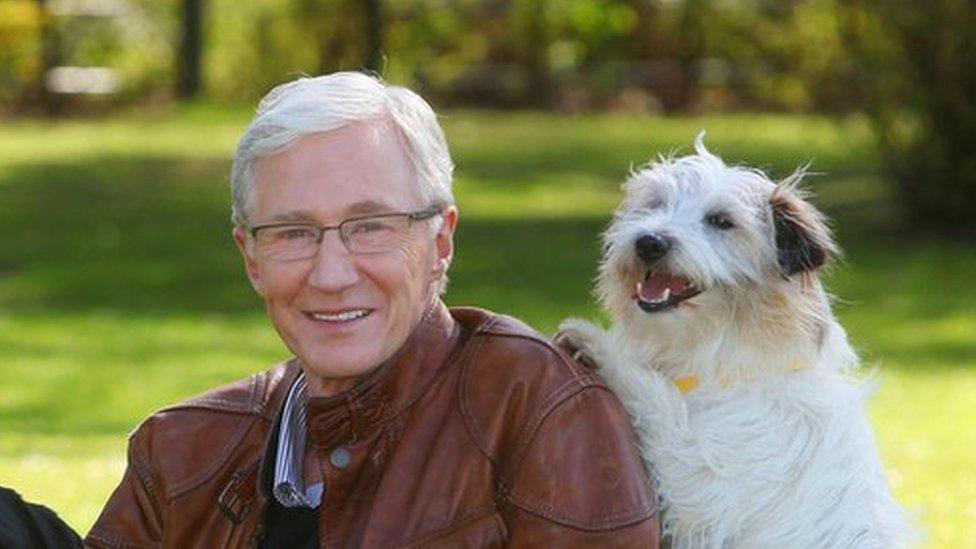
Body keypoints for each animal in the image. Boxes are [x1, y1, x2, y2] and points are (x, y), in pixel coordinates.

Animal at [560, 134, 920, 548]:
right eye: (655, 204)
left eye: (721, 221)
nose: (649, 242)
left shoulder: (701, 477)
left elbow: (656, 398)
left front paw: (596, 342)